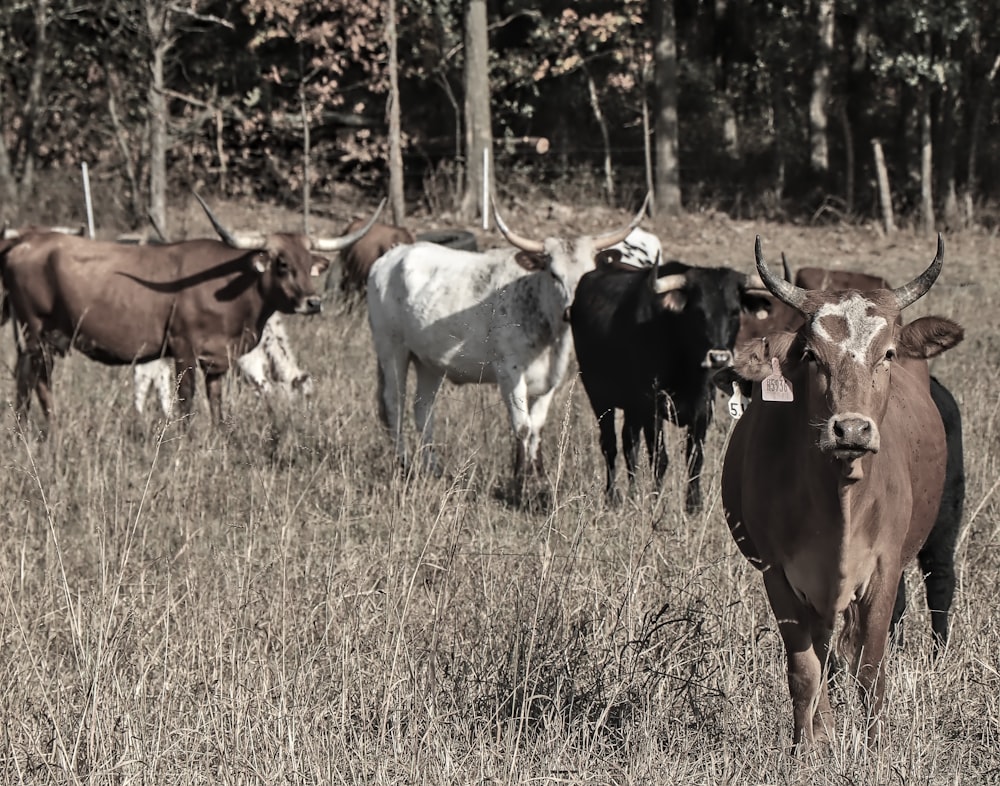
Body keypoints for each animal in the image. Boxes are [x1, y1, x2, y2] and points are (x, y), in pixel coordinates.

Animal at [568, 254, 768, 512]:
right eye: (699, 312)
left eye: (734, 313)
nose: (719, 357)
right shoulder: (652, 407)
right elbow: (659, 458)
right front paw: (657, 502)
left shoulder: (703, 408)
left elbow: (695, 457)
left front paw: (693, 505)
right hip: (599, 396)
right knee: (610, 445)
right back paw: (613, 497)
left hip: (631, 408)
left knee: (629, 445)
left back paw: (633, 495)